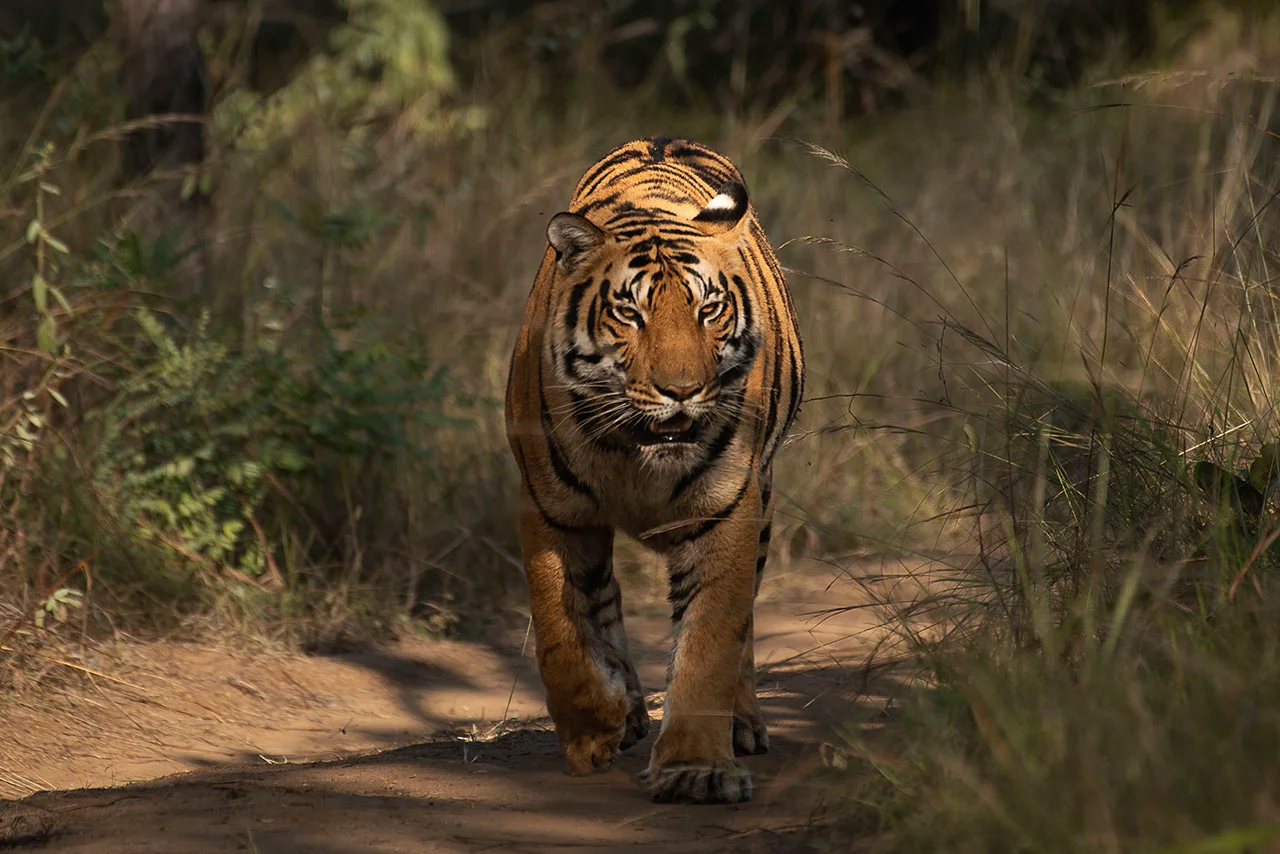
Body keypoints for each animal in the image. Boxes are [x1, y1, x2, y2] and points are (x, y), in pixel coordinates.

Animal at [505, 136, 805, 804]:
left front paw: (696, 769)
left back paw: (742, 722)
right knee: (602, 598)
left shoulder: (726, 507)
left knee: (745, 620)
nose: (683, 391)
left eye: (709, 309)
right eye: (629, 313)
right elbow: (560, 632)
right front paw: (595, 729)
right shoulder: (549, 508)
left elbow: (710, 641)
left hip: (764, 501)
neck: (633, 452)